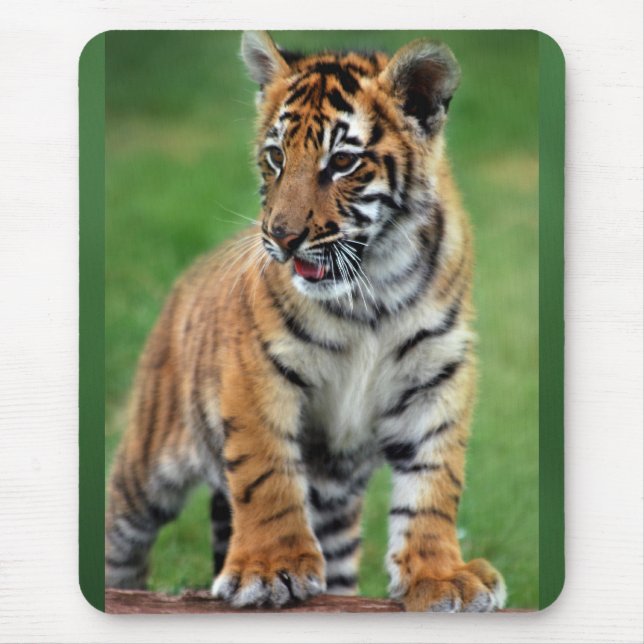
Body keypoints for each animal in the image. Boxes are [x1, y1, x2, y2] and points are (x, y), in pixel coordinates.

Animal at [105, 30, 506, 612]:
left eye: (341, 162)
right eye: (275, 157)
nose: (282, 236)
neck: (372, 291)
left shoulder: (438, 375)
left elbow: (434, 485)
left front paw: (441, 575)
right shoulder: (256, 371)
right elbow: (266, 472)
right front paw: (271, 569)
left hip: (336, 509)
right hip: (148, 460)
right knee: (122, 530)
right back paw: (124, 590)